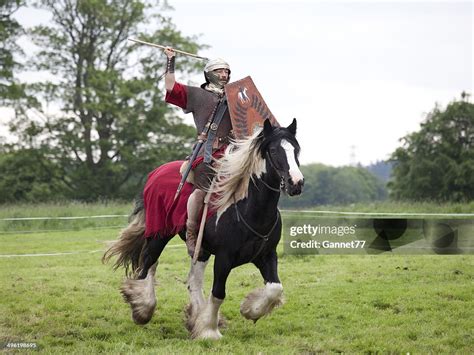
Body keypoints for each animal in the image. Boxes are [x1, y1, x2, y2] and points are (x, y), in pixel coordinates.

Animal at [103, 119, 304, 340]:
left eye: (296, 150)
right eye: (274, 150)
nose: (296, 183)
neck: (248, 208)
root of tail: (156, 173)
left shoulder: (267, 256)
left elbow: (275, 288)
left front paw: (249, 310)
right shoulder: (224, 258)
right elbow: (218, 293)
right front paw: (209, 330)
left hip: (201, 249)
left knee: (192, 280)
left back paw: (194, 316)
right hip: (159, 234)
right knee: (147, 264)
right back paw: (142, 308)